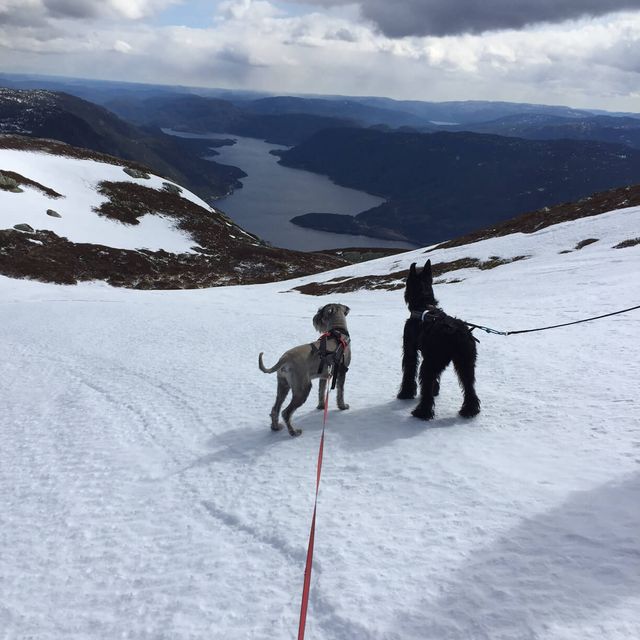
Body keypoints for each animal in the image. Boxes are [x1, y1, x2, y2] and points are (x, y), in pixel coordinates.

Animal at [258, 304, 350, 436]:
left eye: (321, 312)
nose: (315, 318)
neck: (338, 331)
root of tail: (285, 358)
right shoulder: (342, 371)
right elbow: (340, 391)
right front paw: (343, 406)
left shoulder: (324, 375)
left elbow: (321, 392)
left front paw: (321, 406)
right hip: (303, 389)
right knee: (286, 412)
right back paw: (294, 432)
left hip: (283, 385)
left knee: (275, 409)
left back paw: (275, 427)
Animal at [398, 260, 482, 420]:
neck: (423, 305)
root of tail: (456, 332)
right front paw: (435, 390)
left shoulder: (410, 349)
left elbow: (409, 370)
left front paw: (405, 393)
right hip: (465, 362)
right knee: (469, 386)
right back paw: (469, 410)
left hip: (430, 363)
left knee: (426, 385)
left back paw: (422, 412)